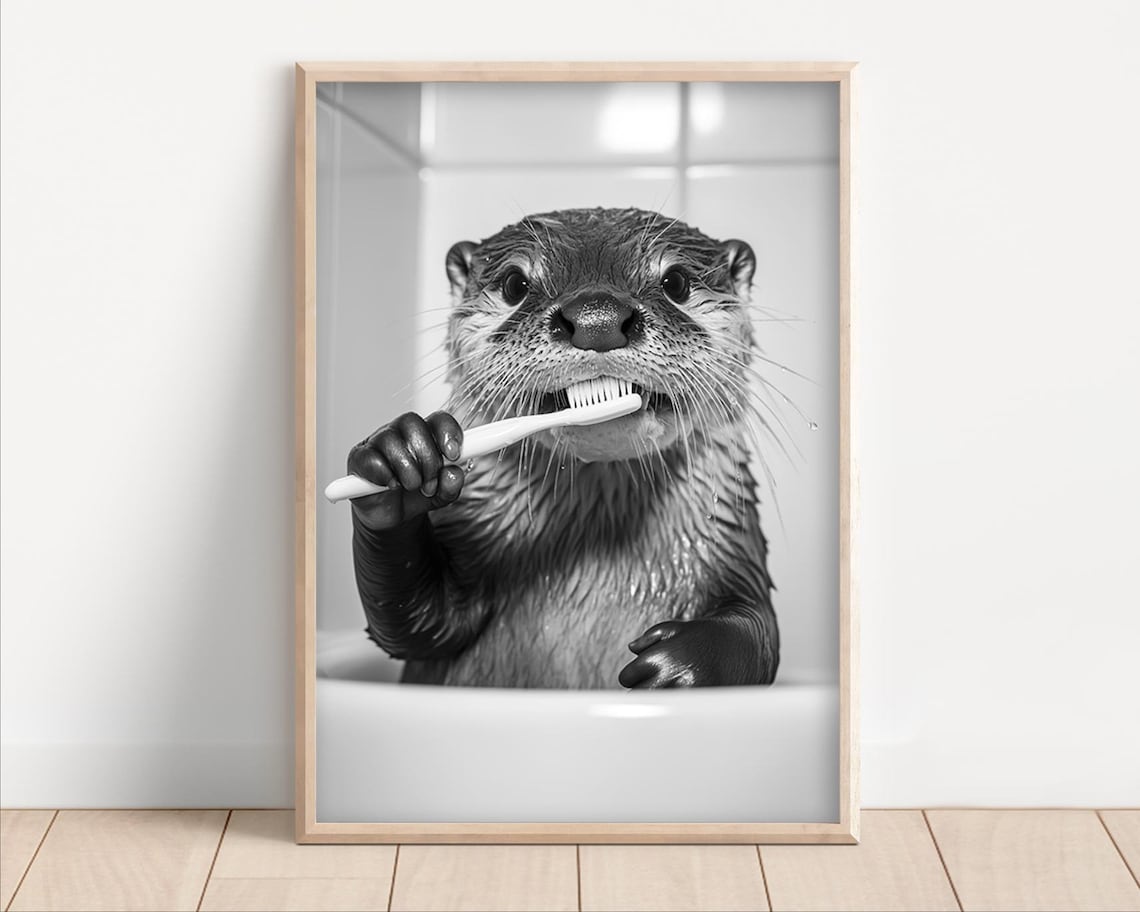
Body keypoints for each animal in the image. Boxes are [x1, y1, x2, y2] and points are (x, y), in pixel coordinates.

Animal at [346, 207, 778, 688]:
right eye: (515, 284)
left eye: (677, 282)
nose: (597, 319)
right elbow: (417, 624)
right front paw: (399, 459)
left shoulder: (734, 545)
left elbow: (755, 631)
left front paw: (677, 664)